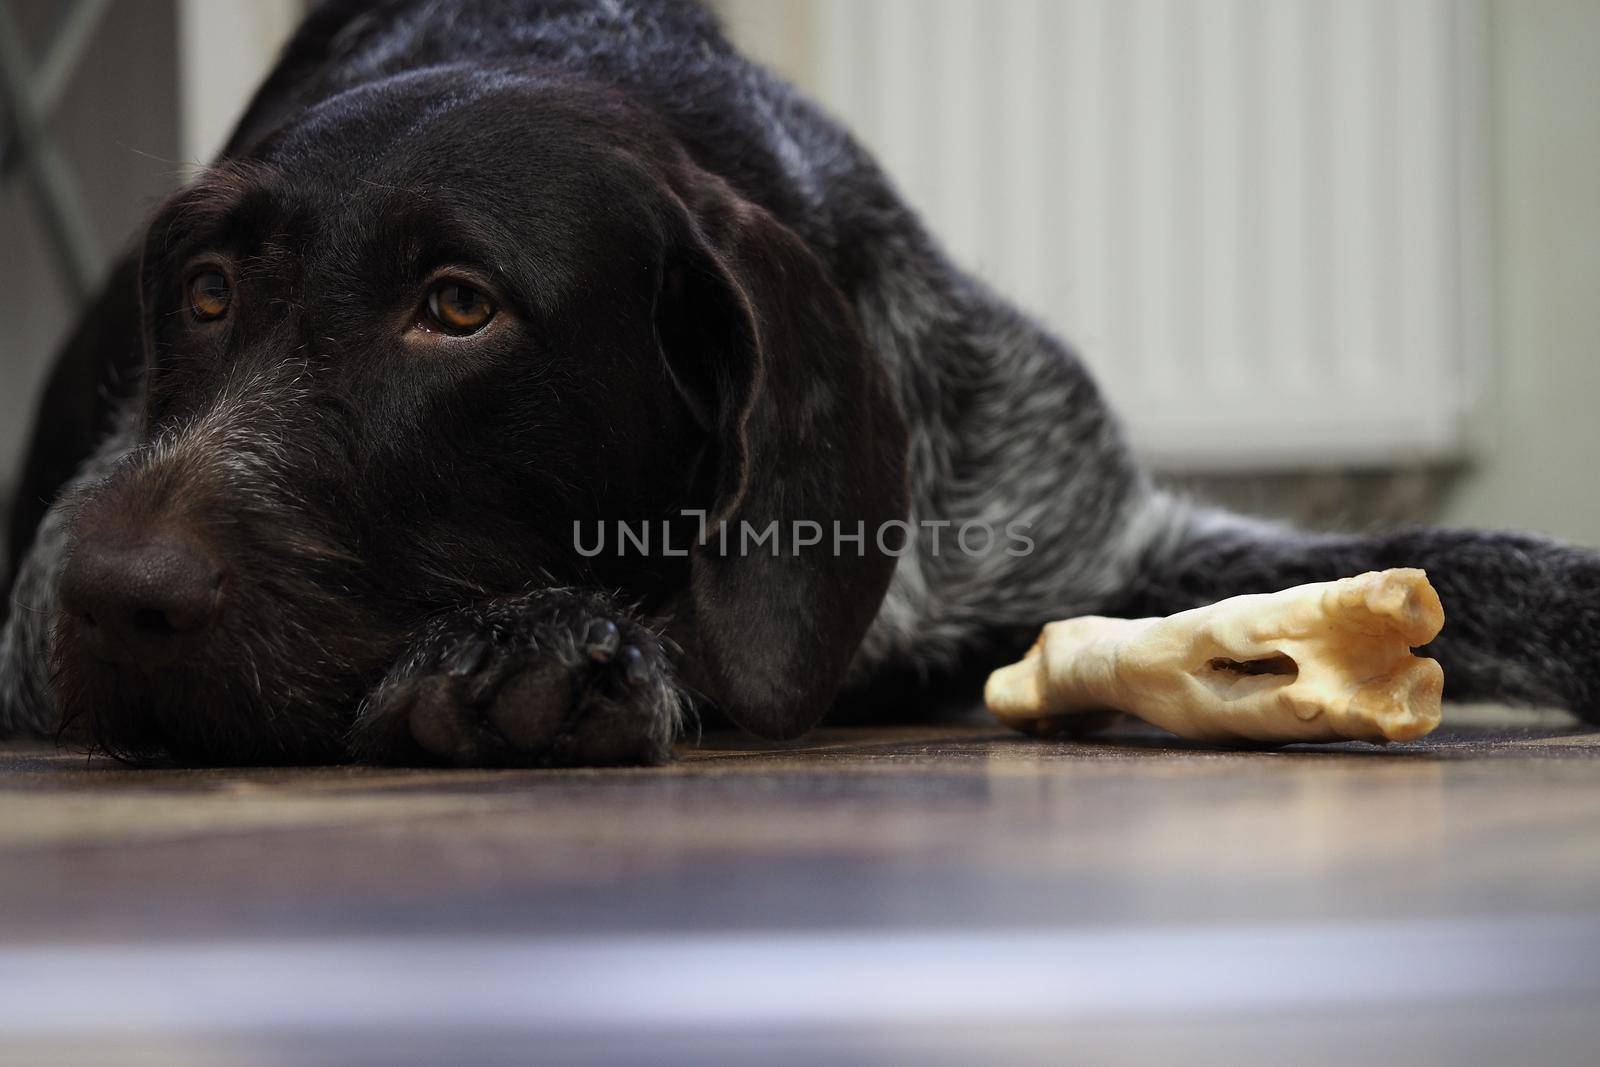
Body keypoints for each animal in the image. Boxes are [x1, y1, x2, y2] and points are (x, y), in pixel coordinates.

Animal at [3, 0, 1600, 767]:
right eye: (207, 296)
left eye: (457, 307)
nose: (114, 593)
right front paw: (535, 640)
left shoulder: (1095, 540)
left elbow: (1497, 560)